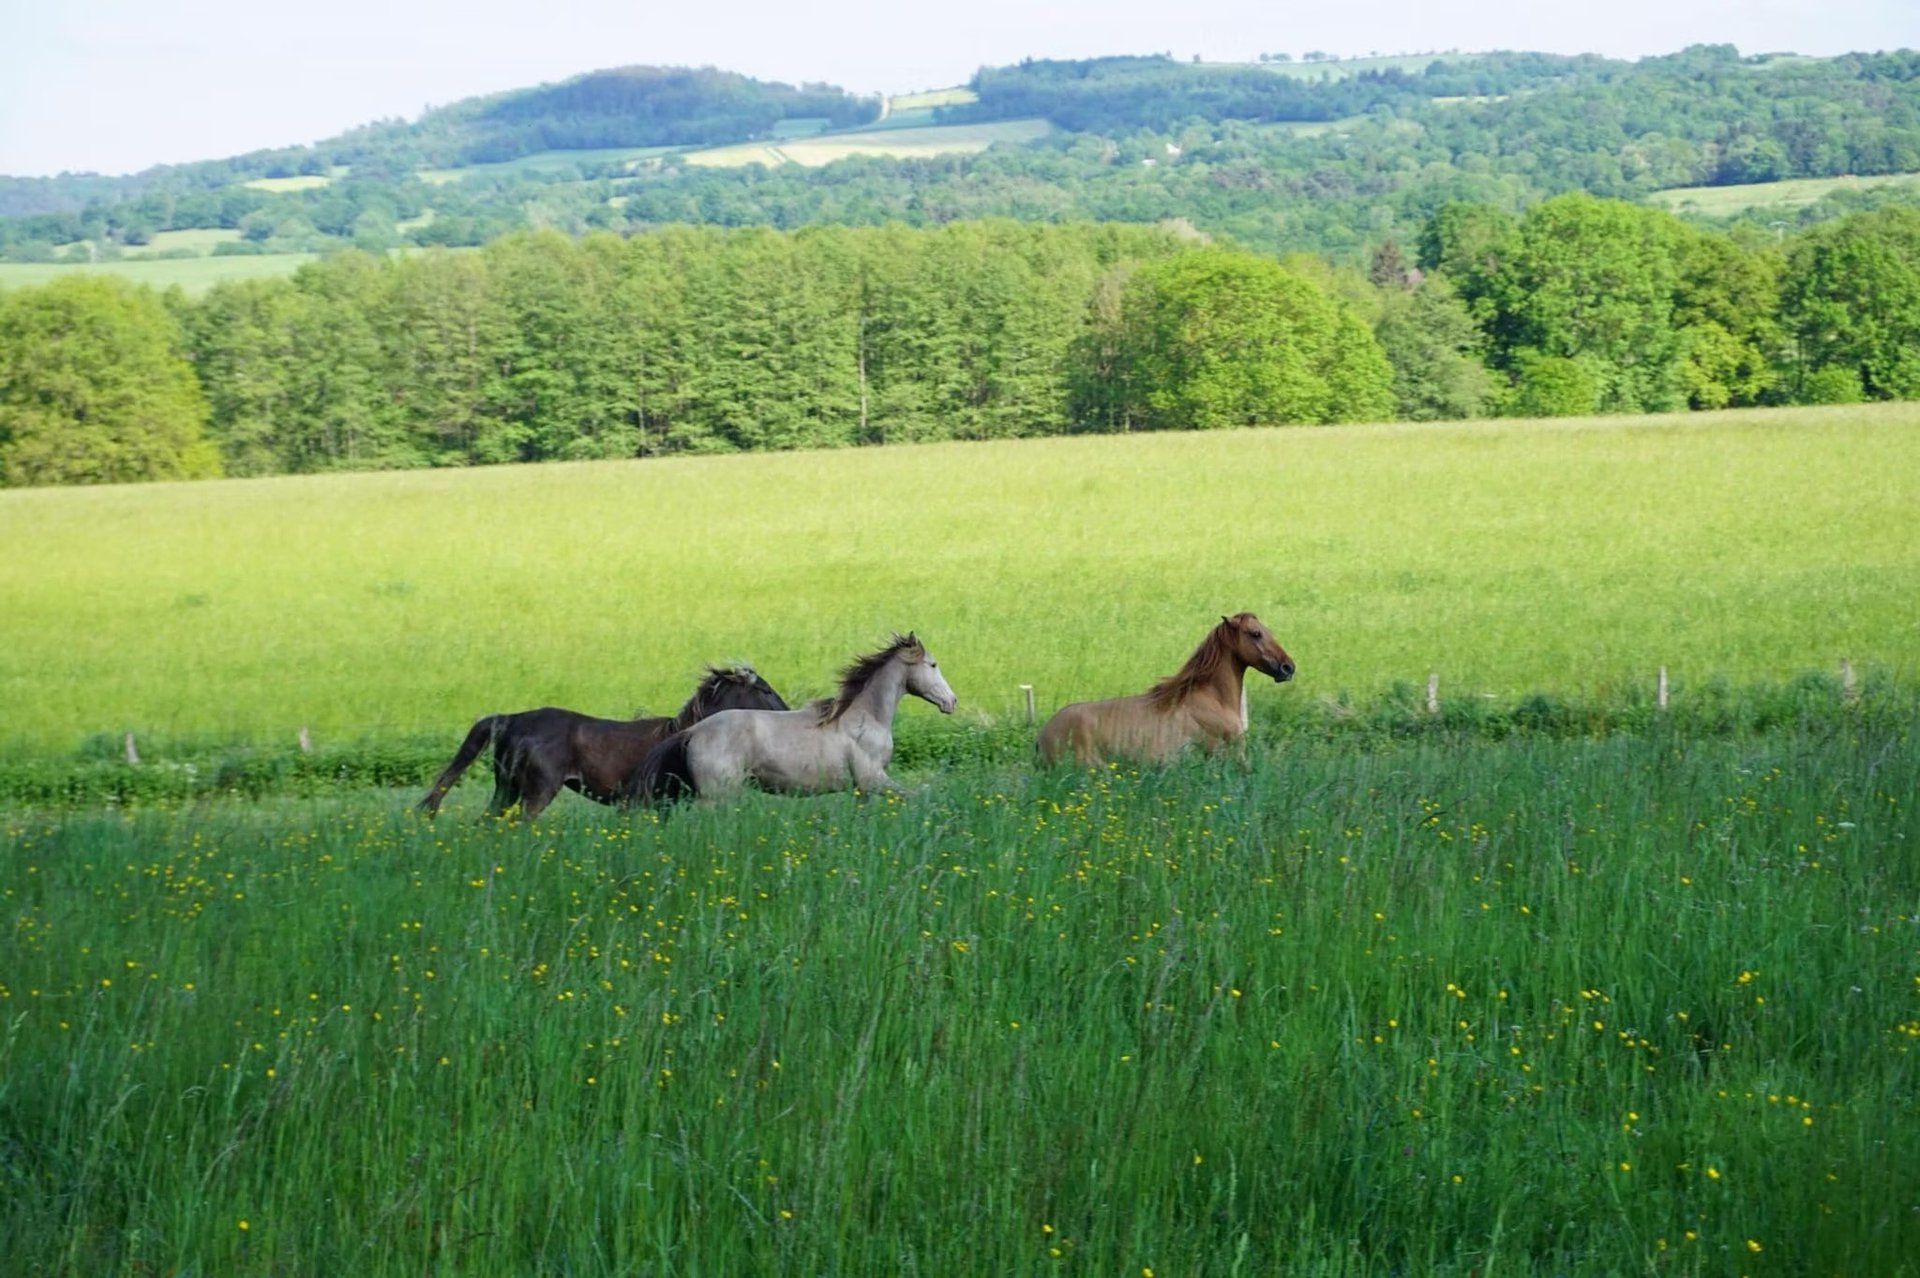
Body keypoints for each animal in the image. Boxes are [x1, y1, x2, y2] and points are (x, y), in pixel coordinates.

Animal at [417, 665, 789, 820]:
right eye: (765, 689)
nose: (787, 711)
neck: (682, 734)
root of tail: (510, 719)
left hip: (506, 787)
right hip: (536, 791)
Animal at [628, 632, 956, 806]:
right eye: (933, 664)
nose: (951, 701)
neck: (864, 720)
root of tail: (693, 731)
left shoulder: (863, 788)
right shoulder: (874, 779)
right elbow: (917, 795)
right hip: (719, 795)